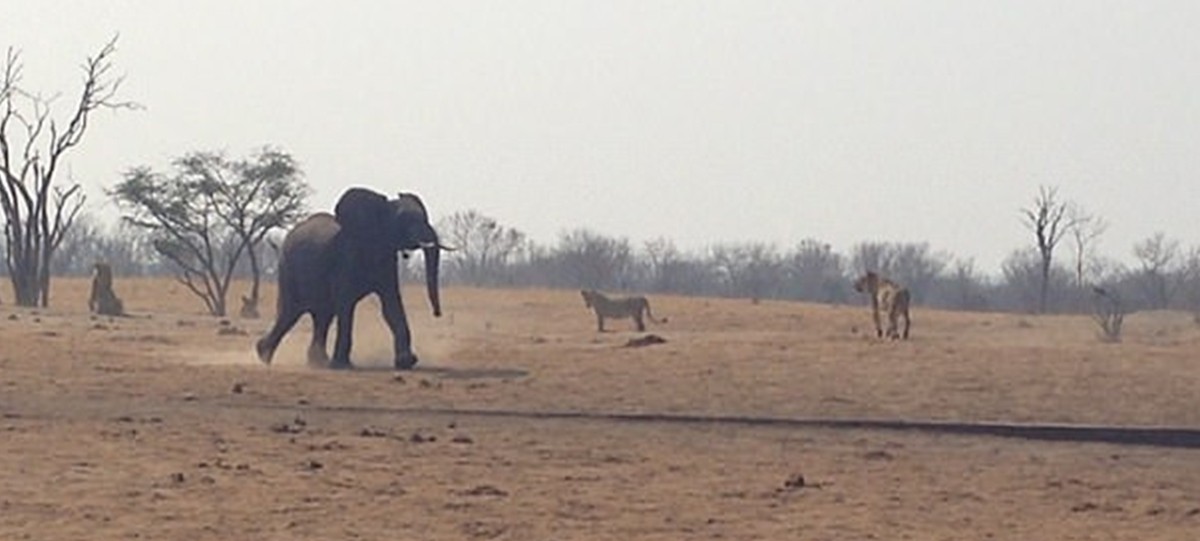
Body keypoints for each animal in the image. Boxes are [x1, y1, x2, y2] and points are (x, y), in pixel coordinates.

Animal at [255, 186, 446, 370]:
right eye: (404, 219)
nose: (437, 314)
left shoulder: (386, 257)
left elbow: (391, 304)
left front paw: (406, 362)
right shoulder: (345, 255)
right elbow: (345, 304)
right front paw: (342, 365)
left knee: (323, 315)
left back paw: (317, 362)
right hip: (288, 270)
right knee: (290, 312)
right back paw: (263, 356)